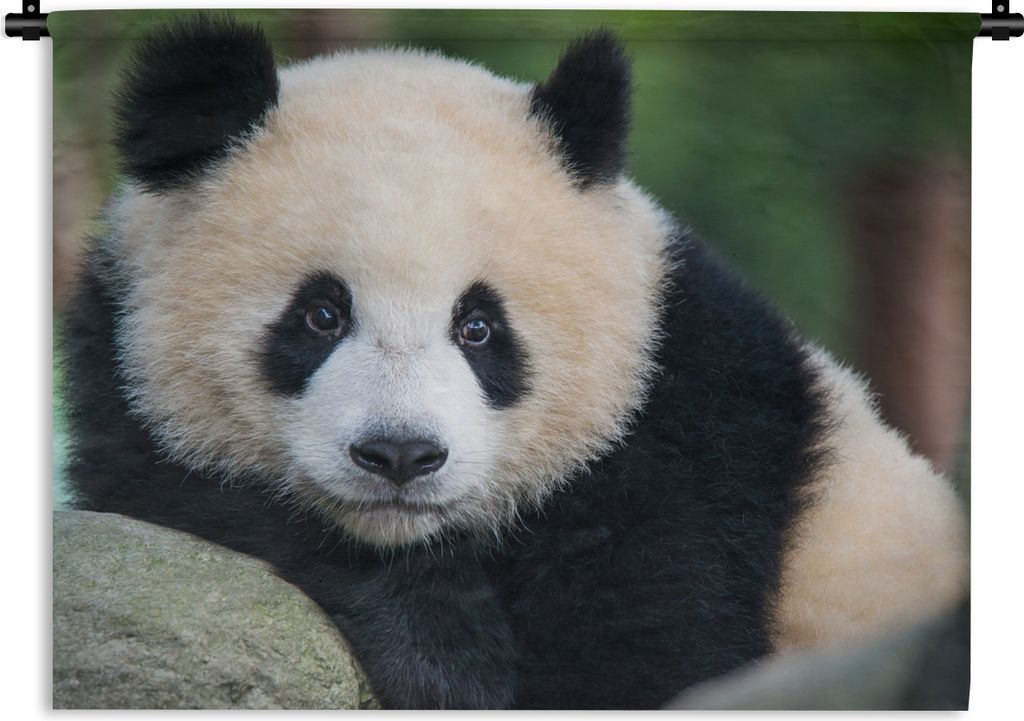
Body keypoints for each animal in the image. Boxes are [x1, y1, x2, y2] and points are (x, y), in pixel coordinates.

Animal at [61, 16, 968, 710]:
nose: (401, 455)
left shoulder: (685, 445)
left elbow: (644, 661)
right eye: (320, 314)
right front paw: (445, 654)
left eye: (479, 327)